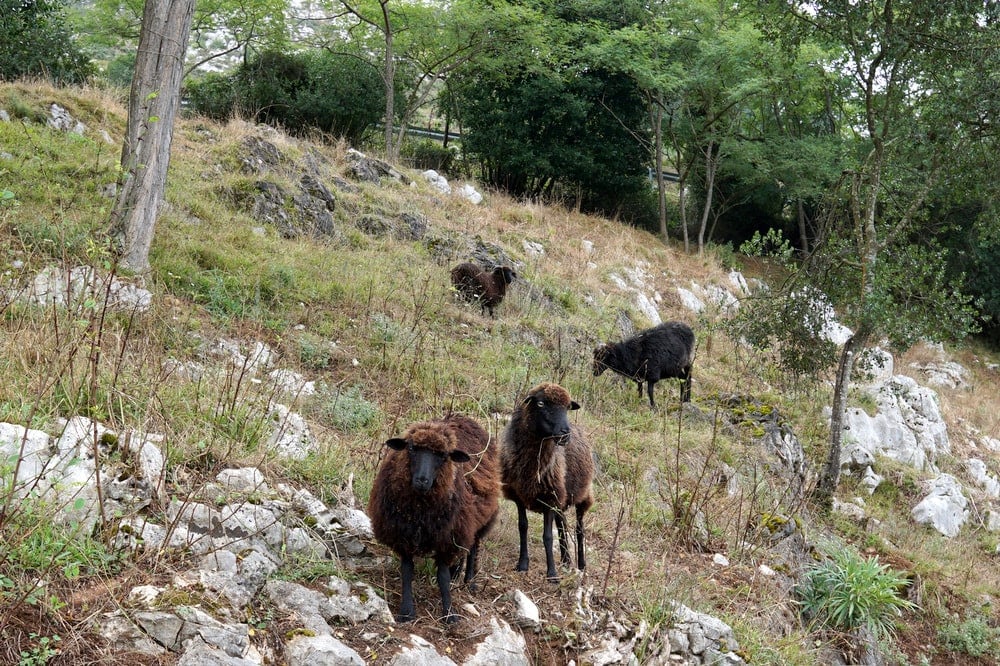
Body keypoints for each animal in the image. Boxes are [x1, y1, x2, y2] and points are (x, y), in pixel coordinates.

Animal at [368, 412, 500, 620]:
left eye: (443, 456)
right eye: (412, 448)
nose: (422, 480)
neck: (420, 510)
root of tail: (464, 417)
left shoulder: (446, 539)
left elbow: (442, 577)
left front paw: (449, 614)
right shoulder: (403, 535)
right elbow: (407, 571)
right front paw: (407, 611)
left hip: (479, 517)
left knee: (473, 547)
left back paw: (469, 581)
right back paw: (457, 574)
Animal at [500, 382, 592, 580]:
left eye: (567, 407)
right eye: (541, 404)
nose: (565, 434)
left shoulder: (549, 497)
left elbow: (547, 537)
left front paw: (552, 574)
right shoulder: (519, 495)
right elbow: (523, 527)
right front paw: (522, 564)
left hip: (582, 494)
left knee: (579, 529)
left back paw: (581, 564)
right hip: (561, 497)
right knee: (562, 524)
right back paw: (566, 560)